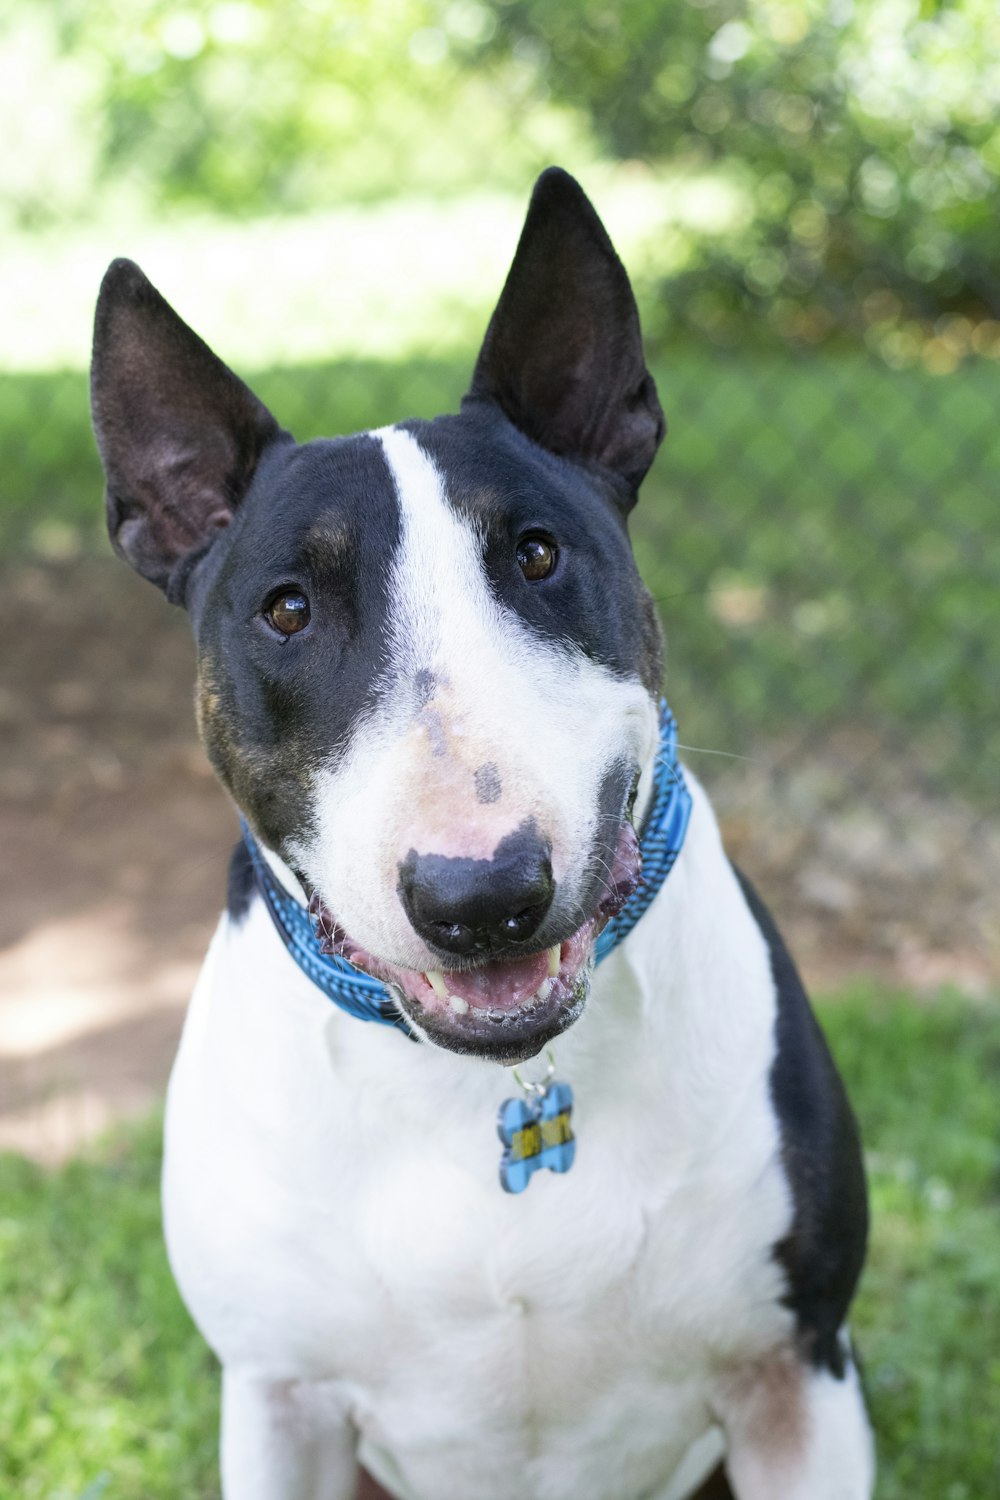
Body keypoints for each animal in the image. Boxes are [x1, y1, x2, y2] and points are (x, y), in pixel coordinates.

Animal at [93, 167, 875, 1500]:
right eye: (287, 610)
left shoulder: (794, 1377)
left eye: (538, 553)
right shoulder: (281, 1402)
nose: (484, 897)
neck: (493, 1091)